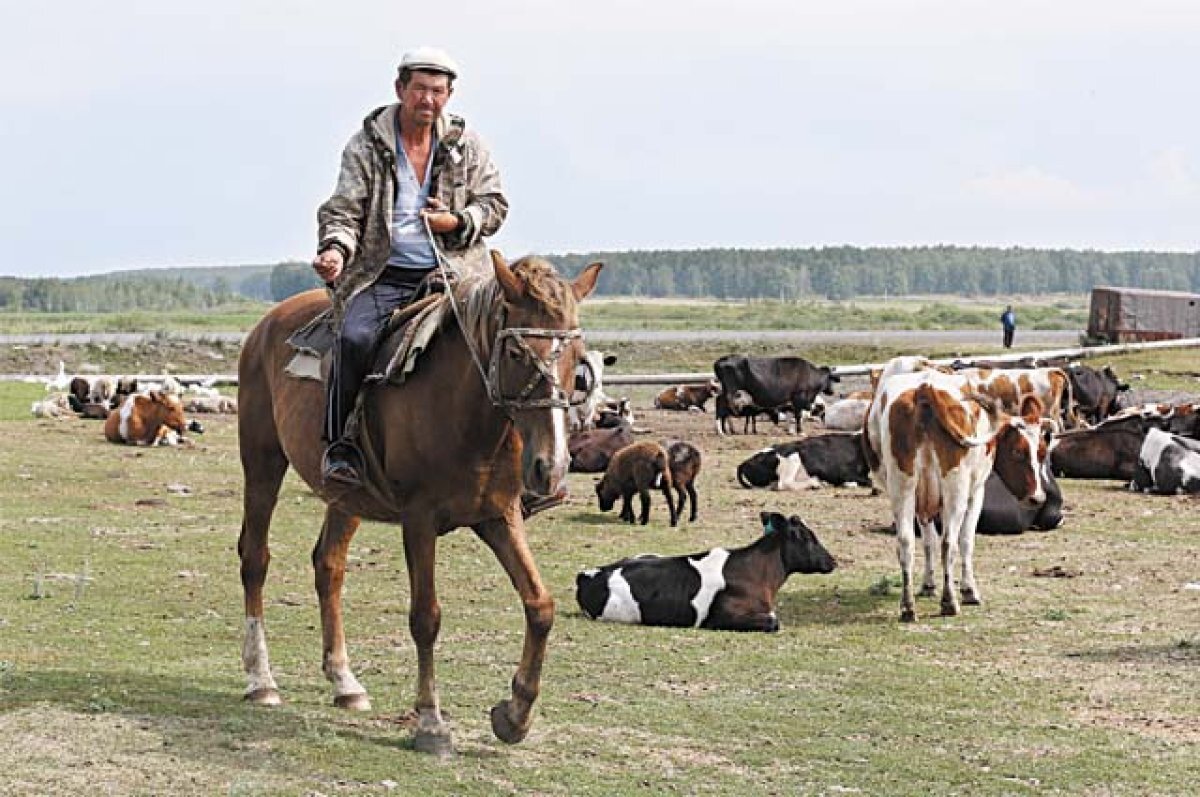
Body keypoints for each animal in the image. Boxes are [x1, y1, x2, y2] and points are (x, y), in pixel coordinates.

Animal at [240, 253, 604, 753]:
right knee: (255, 560)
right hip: (262, 464)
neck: (465, 412)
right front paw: (431, 723)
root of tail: (265, 325)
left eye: (576, 359)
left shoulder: (499, 516)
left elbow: (540, 605)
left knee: (328, 566)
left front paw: (515, 715)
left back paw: (345, 682)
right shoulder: (419, 519)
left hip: (346, 496)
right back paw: (261, 679)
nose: (550, 468)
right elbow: (426, 617)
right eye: (515, 353)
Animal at [705, 355, 840, 436]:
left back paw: (726, 430)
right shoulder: (798, 398)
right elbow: (798, 416)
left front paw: (791, 431)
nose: (832, 391)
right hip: (730, 389)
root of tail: (722, 359)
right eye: (830, 379)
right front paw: (800, 431)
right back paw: (721, 431)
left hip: (726, 389)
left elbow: (793, 416)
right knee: (722, 407)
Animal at [873, 367, 1051, 624]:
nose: (1037, 498)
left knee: (906, 543)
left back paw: (908, 607)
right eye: (1018, 452)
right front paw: (969, 590)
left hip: (902, 487)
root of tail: (924, 389)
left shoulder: (921, 503)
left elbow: (928, 541)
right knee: (950, 542)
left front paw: (928, 584)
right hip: (955, 490)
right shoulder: (976, 492)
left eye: (1042, 453)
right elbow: (966, 540)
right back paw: (950, 602)